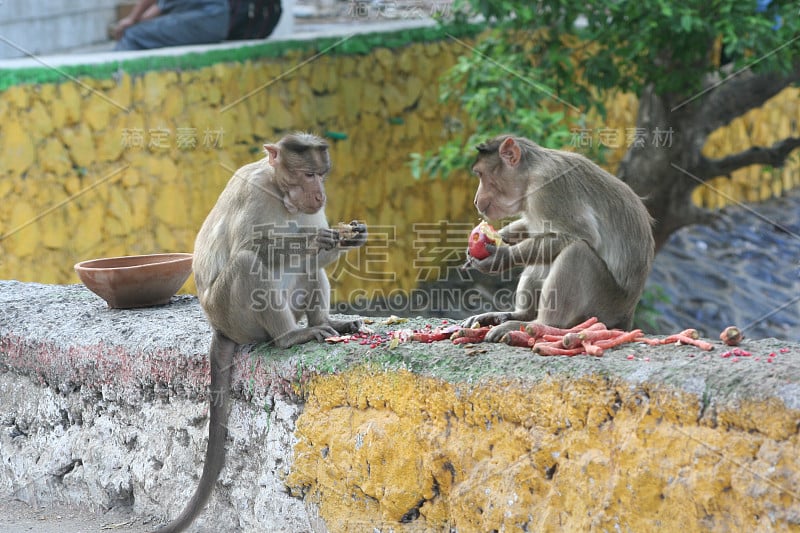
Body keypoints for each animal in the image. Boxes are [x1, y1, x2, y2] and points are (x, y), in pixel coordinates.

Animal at [152, 132, 366, 532]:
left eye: (322, 175)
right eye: (308, 174)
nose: (320, 195)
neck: (282, 193)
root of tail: (219, 326)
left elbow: (319, 255)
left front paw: (350, 236)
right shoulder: (253, 192)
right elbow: (252, 247)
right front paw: (313, 239)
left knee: (307, 269)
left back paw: (324, 322)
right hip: (235, 316)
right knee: (247, 261)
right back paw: (288, 337)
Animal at [466, 134, 652, 340]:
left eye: (480, 174)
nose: (475, 200)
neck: (530, 176)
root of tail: (627, 315)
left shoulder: (548, 188)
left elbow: (582, 234)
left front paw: (501, 258)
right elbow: (533, 229)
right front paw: (499, 235)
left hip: (605, 305)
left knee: (576, 252)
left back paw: (540, 324)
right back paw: (519, 315)